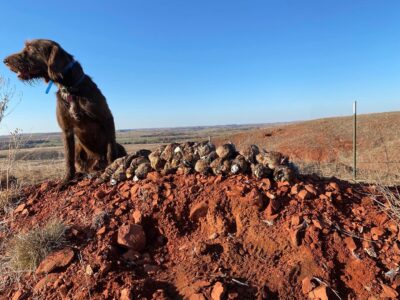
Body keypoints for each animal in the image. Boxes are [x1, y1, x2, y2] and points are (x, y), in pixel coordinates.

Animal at [3, 38, 126, 186]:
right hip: (79, 149)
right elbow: (68, 158)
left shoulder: (107, 119)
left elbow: (110, 150)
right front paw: (66, 180)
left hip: (120, 147)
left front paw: (111, 166)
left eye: (31, 49)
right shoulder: (66, 129)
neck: (70, 89)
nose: (4, 61)